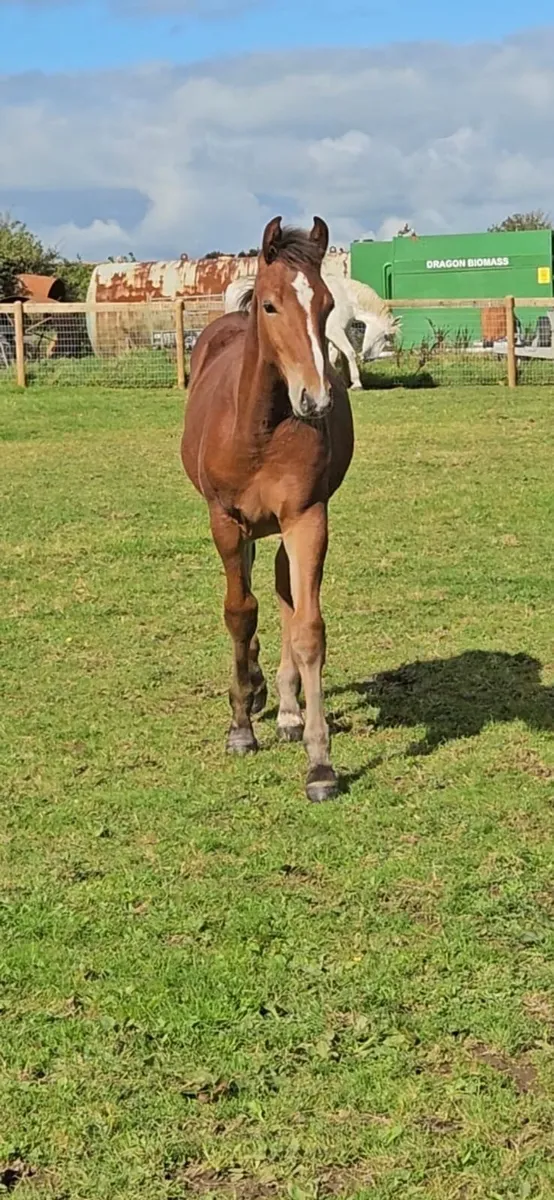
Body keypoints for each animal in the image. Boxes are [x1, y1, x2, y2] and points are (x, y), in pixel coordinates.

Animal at [181, 217, 354, 803]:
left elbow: (307, 627)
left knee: (281, 591)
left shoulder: (307, 518)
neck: (257, 428)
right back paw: (256, 693)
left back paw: (285, 708)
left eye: (326, 304)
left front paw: (320, 763)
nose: (316, 399)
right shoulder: (225, 520)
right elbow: (239, 612)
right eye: (272, 305)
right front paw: (239, 727)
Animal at [225, 270, 397, 390]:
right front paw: (356, 383)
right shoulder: (335, 332)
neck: (346, 297)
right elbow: (349, 353)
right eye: (386, 336)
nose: (369, 358)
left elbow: (333, 357)